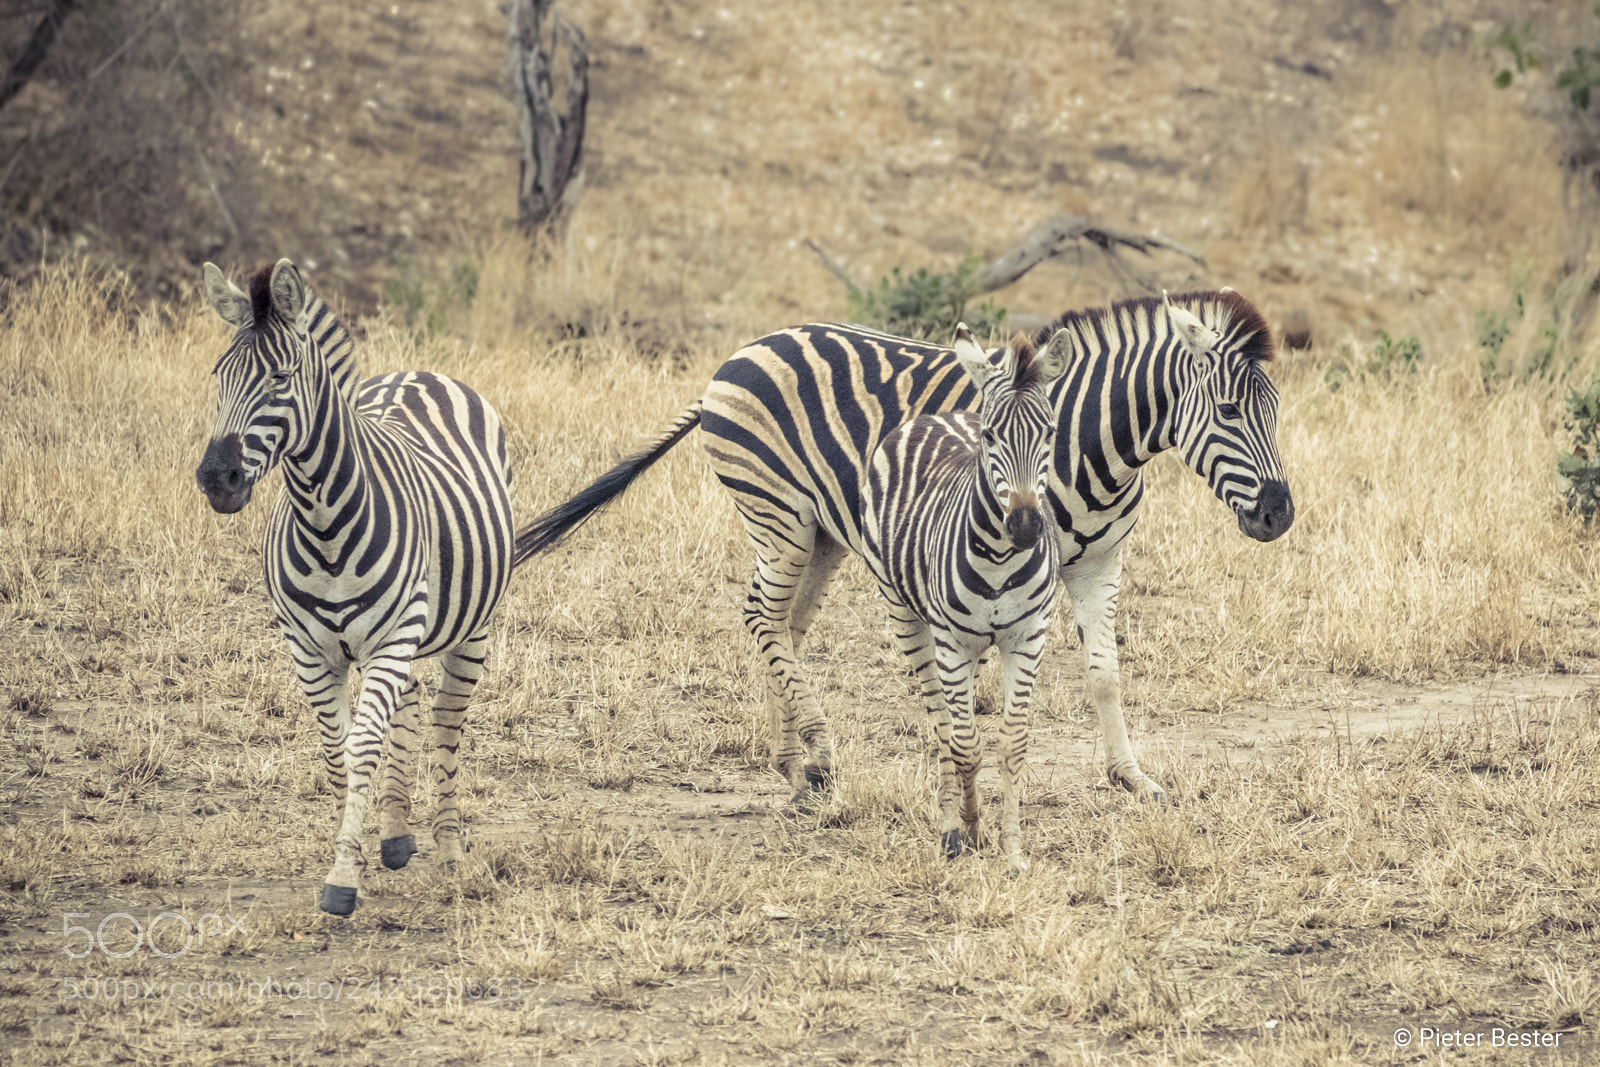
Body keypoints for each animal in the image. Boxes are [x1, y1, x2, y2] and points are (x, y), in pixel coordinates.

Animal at [194, 258, 516, 916]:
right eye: (219, 376)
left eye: (280, 379)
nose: (217, 478)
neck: (324, 524)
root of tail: (419, 372)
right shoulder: (309, 650)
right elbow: (338, 750)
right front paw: (360, 854)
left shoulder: (391, 640)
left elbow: (365, 745)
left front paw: (343, 877)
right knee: (413, 704)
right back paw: (396, 833)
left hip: (468, 627)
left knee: (446, 725)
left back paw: (449, 851)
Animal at [514, 289, 1293, 809]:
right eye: (1229, 411)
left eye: (1278, 410)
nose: (1280, 513)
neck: (1092, 444)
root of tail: (743, 350)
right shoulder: (993, 567)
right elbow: (964, 677)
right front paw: (959, 773)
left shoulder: (1100, 564)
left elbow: (1104, 673)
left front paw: (1131, 777)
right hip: (779, 515)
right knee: (761, 617)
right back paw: (820, 753)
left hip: (821, 531)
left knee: (784, 625)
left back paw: (792, 760)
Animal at [862, 323, 1068, 871]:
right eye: (992, 436)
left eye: (1051, 434)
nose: (1026, 526)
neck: (999, 557)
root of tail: (938, 414)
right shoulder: (952, 642)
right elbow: (965, 745)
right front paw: (971, 830)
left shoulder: (1027, 638)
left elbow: (1011, 744)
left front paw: (1012, 851)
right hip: (907, 616)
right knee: (942, 725)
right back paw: (951, 828)